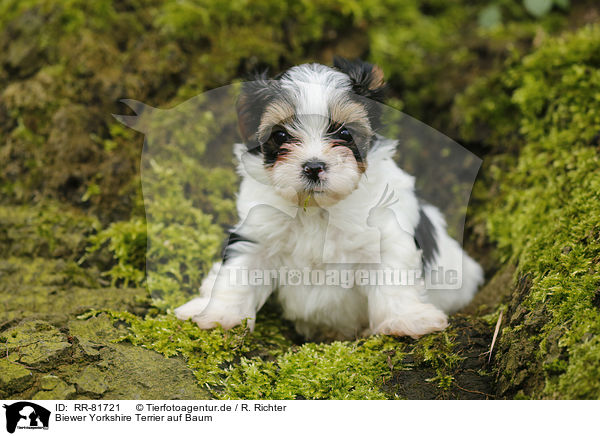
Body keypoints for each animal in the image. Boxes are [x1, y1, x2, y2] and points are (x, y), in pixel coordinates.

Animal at [175, 58, 482, 340]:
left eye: (345, 133)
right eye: (280, 135)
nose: (313, 166)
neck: (315, 209)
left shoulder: (386, 235)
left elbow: (393, 274)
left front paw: (406, 319)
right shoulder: (257, 234)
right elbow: (238, 270)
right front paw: (220, 314)